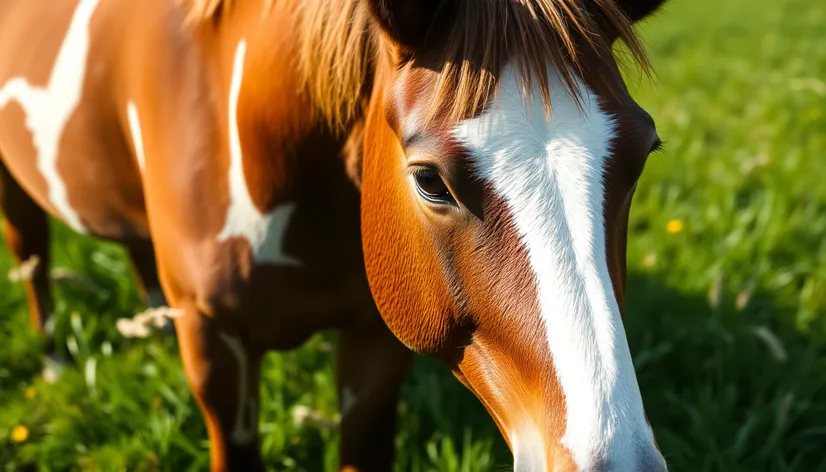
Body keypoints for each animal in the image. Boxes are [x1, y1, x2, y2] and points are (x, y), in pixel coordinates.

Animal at [0, 0, 668, 470]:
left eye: (644, 155)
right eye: (429, 180)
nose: (615, 460)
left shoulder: (375, 341)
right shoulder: (215, 343)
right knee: (32, 256)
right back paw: (54, 363)